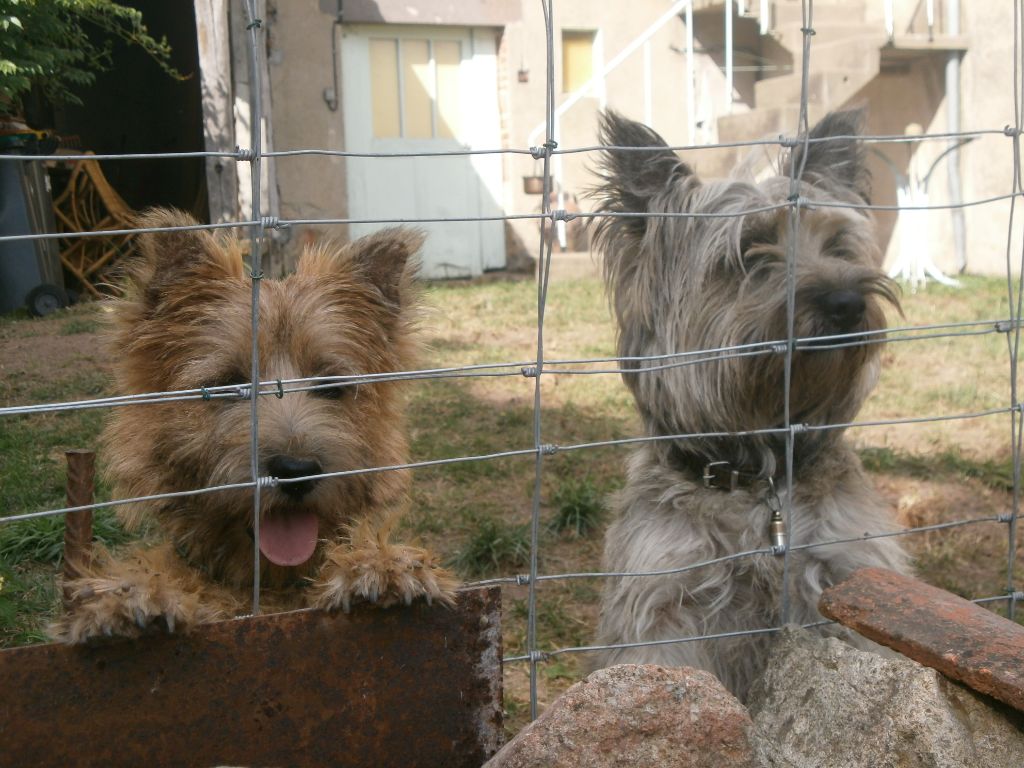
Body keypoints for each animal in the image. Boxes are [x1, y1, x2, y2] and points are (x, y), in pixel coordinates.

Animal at [49, 210, 458, 643]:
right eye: (228, 385)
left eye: (331, 386)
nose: (296, 471)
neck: (272, 583)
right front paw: (133, 596)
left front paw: (380, 568)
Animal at [593, 109, 913, 704]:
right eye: (750, 251)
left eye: (837, 244)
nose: (846, 302)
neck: (761, 481)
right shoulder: (668, 604)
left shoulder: (846, 576)